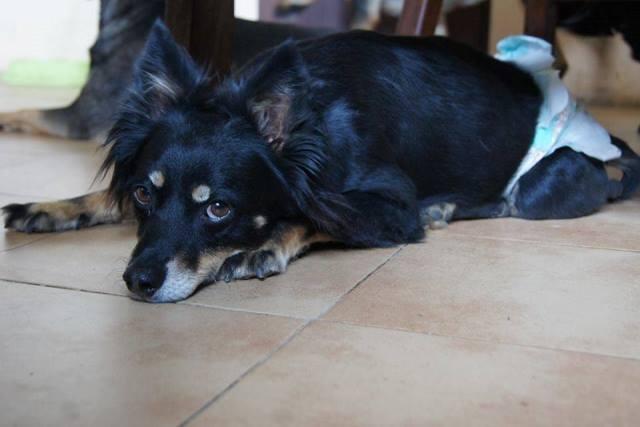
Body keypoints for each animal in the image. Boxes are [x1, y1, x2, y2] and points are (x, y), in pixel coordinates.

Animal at [3, 20, 640, 303]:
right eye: (142, 194)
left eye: (219, 209)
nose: (137, 282)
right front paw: (50, 207)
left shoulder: (391, 207)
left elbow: (311, 215)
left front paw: (262, 246)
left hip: (545, 182)